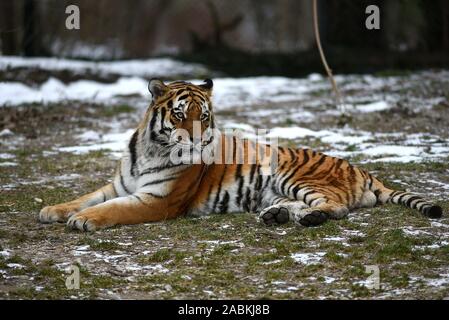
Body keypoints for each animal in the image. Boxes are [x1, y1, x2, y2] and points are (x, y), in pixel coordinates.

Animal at [40, 79, 442, 231]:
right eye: (179, 114)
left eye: (203, 116)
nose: (197, 141)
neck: (151, 149)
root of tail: (361, 169)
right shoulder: (120, 185)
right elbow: (86, 196)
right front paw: (53, 210)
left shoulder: (158, 199)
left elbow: (112, 209)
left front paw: (84, 220)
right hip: (279, 189)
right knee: (298, 205)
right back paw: (277, 215)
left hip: (293, 174)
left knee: (337, 206)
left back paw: (310, 218)